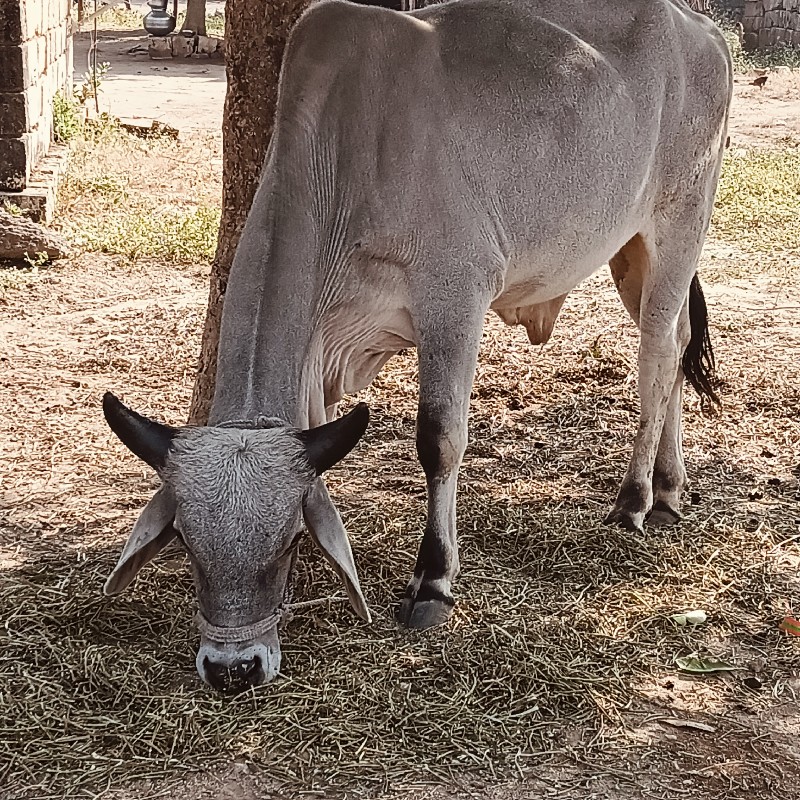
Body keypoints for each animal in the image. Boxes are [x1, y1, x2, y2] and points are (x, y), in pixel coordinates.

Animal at [103, 0, 736, 692]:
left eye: (289, 539)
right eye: (187, 544)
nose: (233, 667)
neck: (343, 159)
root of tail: (704, 28)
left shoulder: (454, 299)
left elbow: (439, 440)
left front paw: (432, 580)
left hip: (681, 221)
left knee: (656, 357)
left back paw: (636, 498)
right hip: (630, 248)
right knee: (676, 345)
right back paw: (672, 487)